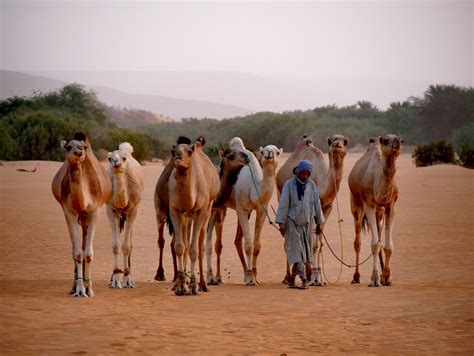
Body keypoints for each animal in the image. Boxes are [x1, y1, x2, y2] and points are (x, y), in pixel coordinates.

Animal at [50, 132, 112, 296]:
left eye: (82, 147)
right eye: (68, 147)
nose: (78, 153)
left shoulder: (94, 211)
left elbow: (88, 253)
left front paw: (88, 288)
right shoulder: (68, 211)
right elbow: (77, 253)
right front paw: (79, 288)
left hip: (85, 217)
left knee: (84, 243)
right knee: (76, 248)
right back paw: (74, 285)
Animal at [106, 142, 143, 290]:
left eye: (124, 158)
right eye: (109, 158)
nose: (115, 162)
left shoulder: (133, 209)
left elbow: (126, 246)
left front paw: (127, 280)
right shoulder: (110, 209)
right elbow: (115, 245)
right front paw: (115, 279)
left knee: (130, 244)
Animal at [168, 136, 219, 294]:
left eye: (189, 152)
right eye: (173, 150)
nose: (178, 156)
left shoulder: (200, 212)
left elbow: (194, 249)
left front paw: (193, 286)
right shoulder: (175, 211)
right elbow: (180, 247)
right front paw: (181, 287)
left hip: (208, 209)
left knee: (200, 244)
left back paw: (203, 284)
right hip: (186, 217)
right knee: (185, 241)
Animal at [274, 134, 348, 286]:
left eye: (345, 141)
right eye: (331, 140)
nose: (337, 144)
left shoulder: (327, 208)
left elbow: (319, 242)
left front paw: (320, 278)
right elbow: (312, 243)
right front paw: (315, 279)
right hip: (280, 196)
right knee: (287, 239)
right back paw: (287, 277)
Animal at [346, 134, 402, 286]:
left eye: (401, 140)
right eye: (386, 140)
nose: (398, 142)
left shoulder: (391, 206)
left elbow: (387, 246)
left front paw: (387, 277)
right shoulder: (369, 204)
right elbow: (374, 245)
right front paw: (375, 278)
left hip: (379, 212)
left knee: (380, 239)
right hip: (356, 204)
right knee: (357, 242)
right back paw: (356, 276)